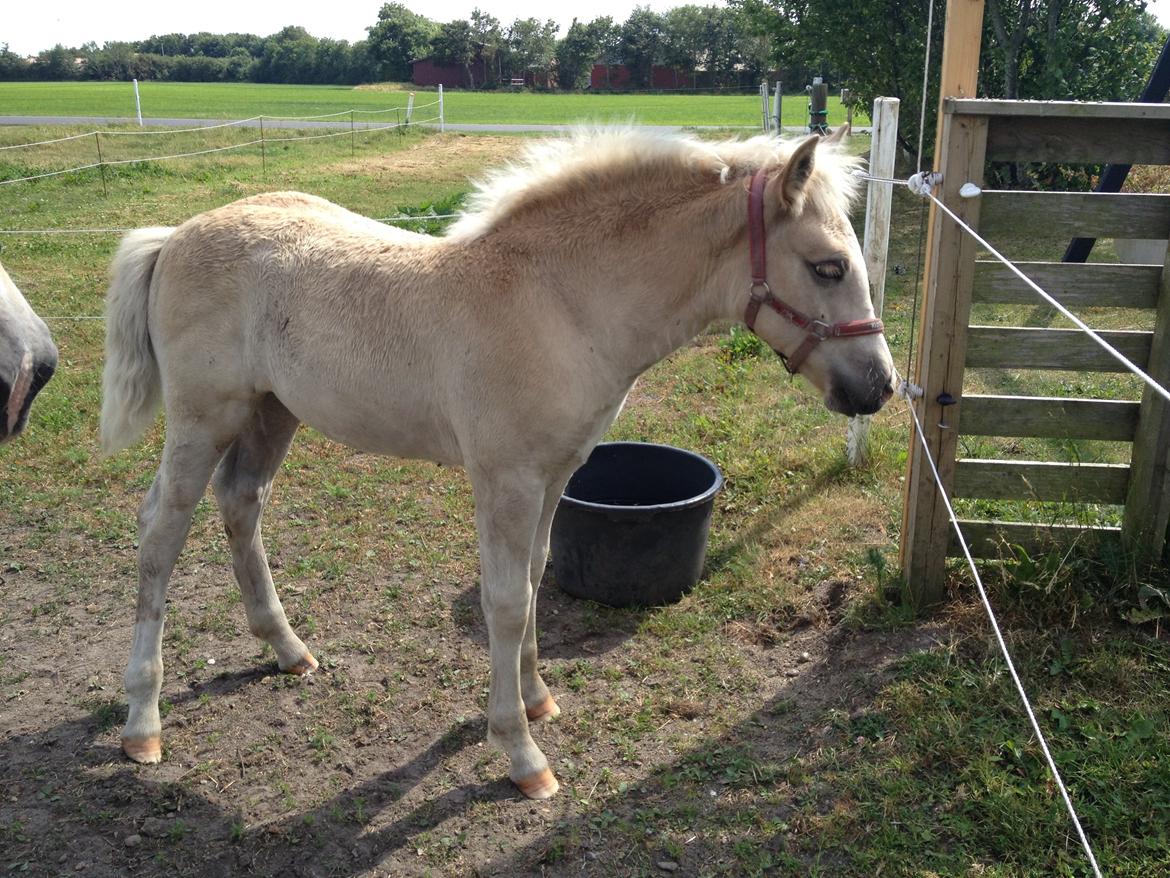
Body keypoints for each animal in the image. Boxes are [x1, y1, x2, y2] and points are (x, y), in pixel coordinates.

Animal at [102, 128, 893, 796]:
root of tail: (176, 235)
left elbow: (538, 575)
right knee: (160, 531)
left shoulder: (557, 472)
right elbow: (506, 601)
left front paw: (538, 698)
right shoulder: (505, 478)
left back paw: (288, 649)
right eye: (828, 266)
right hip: (204, 419)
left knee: (242, 503)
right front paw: (520, 753)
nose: (879, 386)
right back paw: (143, 720)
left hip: (273, 412)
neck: (558, 302)